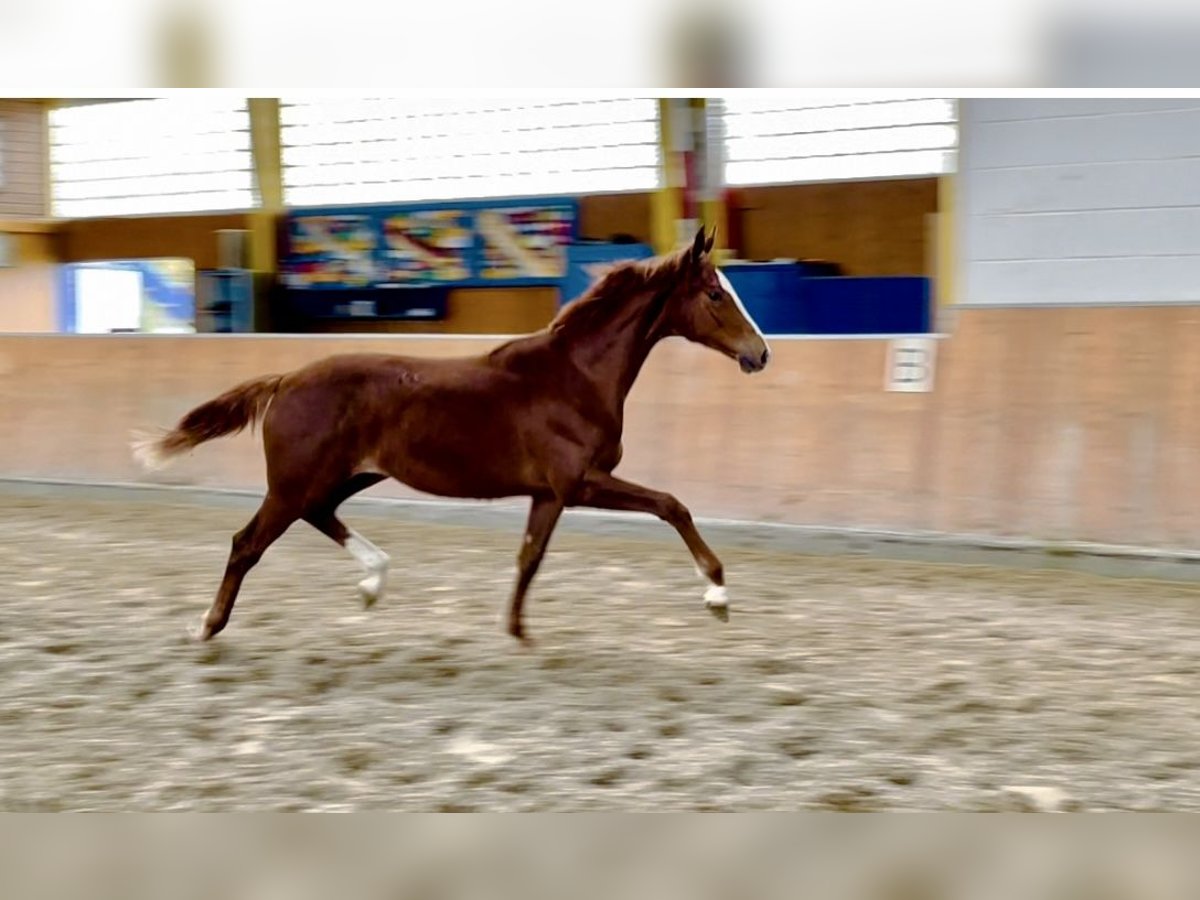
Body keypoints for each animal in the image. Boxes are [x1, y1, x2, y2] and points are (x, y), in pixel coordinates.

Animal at [131, 229, 768, 643]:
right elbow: (672, 505)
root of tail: (285, 379)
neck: (575, 376)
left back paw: (373, 580)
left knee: (319, 514)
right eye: (715, 293)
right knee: (247, 544)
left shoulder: (549, 494)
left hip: (347, 475)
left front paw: (517, 634)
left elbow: (529, 558)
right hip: (293, 483)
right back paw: (206, 628)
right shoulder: (581, 482)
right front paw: (717, 594)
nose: (760, 354)